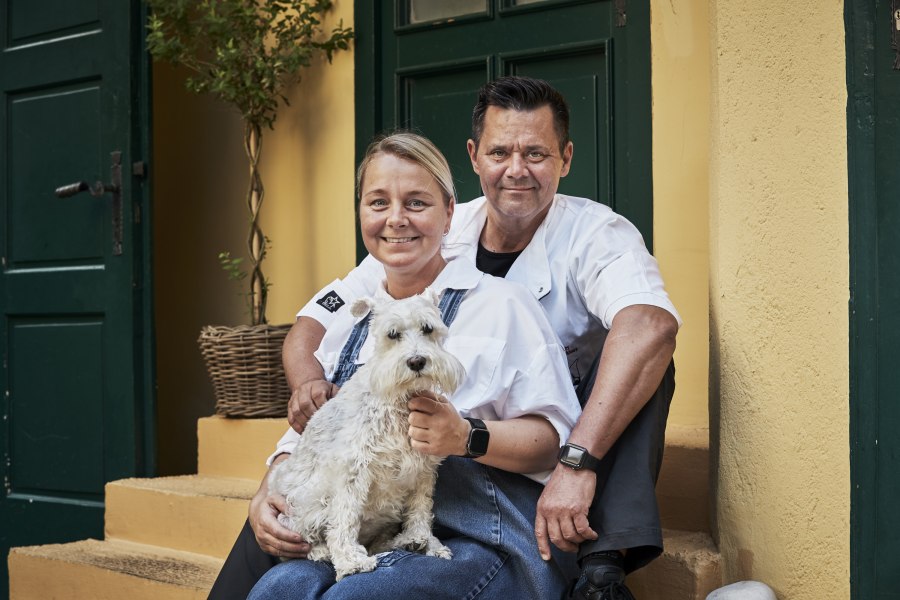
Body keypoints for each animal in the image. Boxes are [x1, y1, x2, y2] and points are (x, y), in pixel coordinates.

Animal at [268, 288, 464, 580]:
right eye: (392, 334)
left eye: (428, 328)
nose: (417, 361)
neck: (399, 400)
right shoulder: (354, 469)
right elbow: (345, 518)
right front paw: (350, 561)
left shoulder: (423, 471)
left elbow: (420, 509)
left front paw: (425, 540)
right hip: (308, 503)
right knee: (305, 538)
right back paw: (323, 552)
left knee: (378, 541)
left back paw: (404, 541)